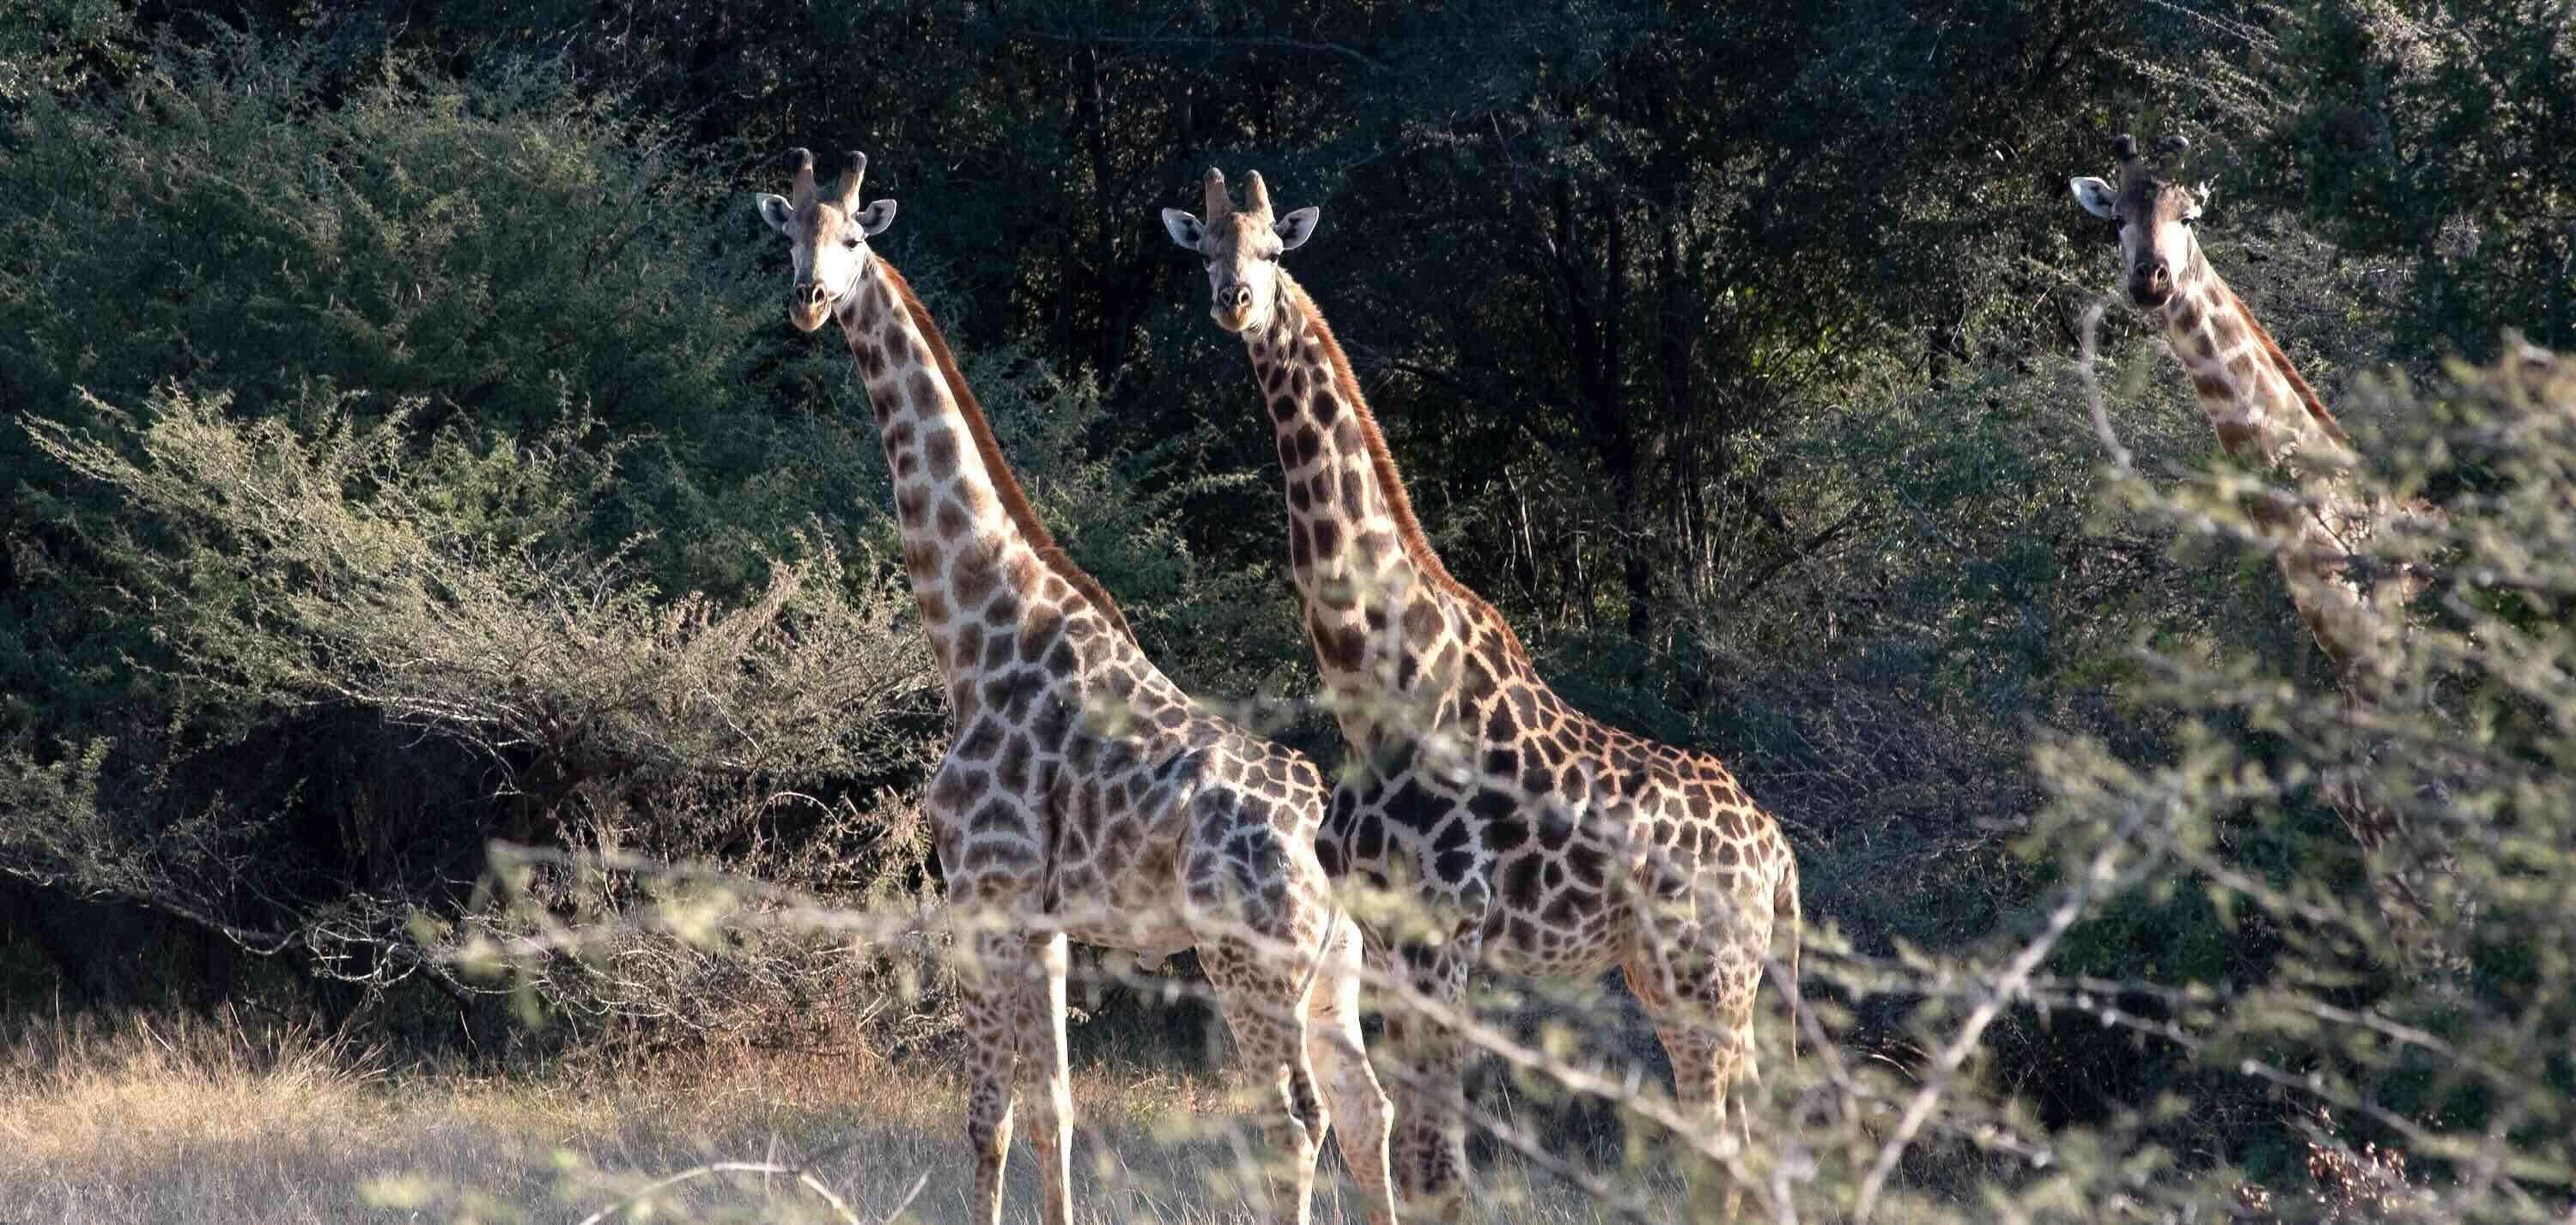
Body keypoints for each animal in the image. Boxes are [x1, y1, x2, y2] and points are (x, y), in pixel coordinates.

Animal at [755, 149, 1395, 1225]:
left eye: (850, 237)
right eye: (789, 234)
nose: (807, 300)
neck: (979, 628)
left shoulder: (983, 889)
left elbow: (988, 1116)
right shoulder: (1048, 922)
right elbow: (1055, 1108)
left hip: (1250, 956)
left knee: (1295, 1118)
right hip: (1332, 966)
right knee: (1364, 1108)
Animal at [1161, 169, 1802, 1220]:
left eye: (1274, 249)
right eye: (1205, 249)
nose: (1236, 302)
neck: (1373, 675)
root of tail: (1779, 850)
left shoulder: (1444, 939)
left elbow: (1442, 1173)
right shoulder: (1388, 944)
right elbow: (1414, 1156)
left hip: (1708, 974)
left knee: (1735, 1149)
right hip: (1684, 976)